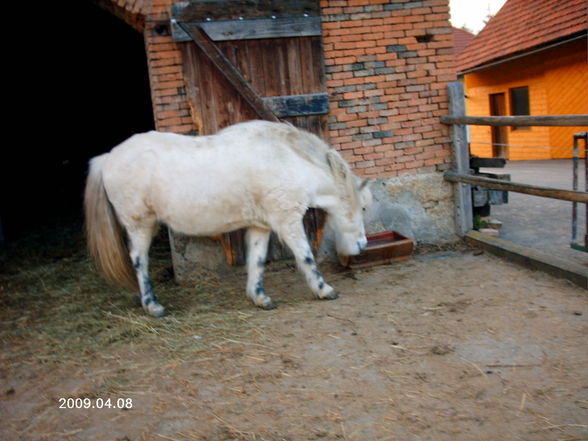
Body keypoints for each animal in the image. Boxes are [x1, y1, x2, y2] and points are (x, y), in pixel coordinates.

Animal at [85, 118, 370, 314]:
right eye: (363, 208)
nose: (362, 245)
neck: (288, 160)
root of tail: (108, 158)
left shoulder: (260, 226)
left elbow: (257, 261)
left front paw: (259, 298)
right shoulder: (287, 221)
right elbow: (306, 257)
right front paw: (324, 290)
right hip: (140, 225)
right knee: (139, 261)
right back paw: (152, 305)